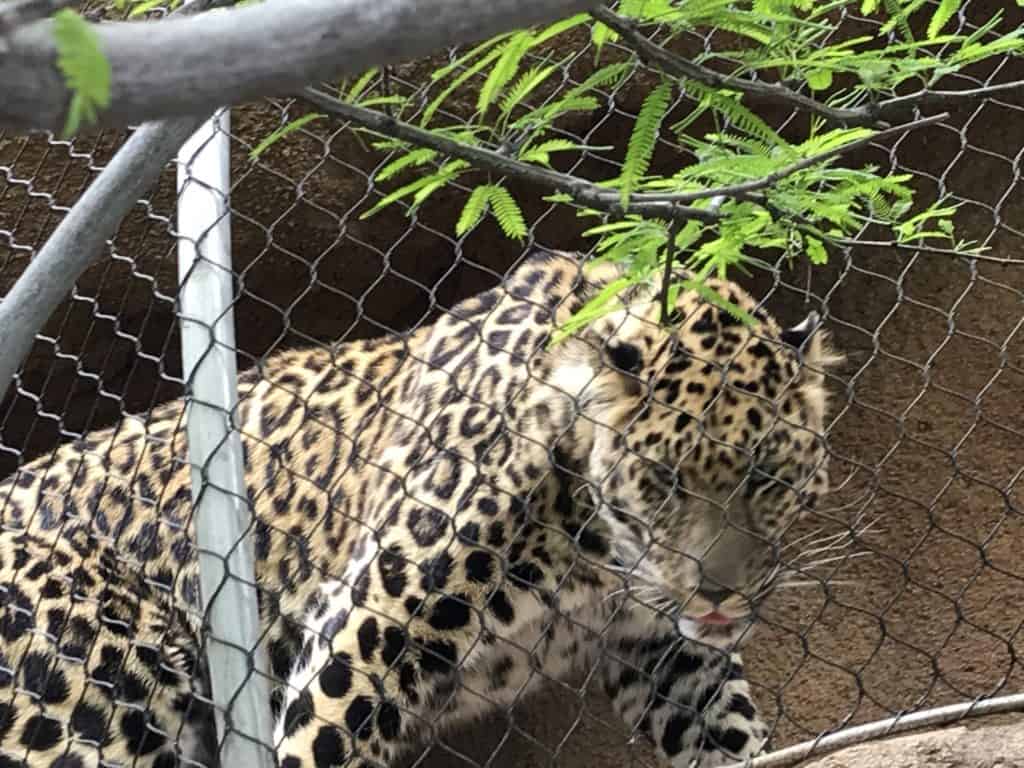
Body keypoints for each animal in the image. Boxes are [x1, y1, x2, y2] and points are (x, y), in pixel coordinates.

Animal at [0, 248, 840, 768]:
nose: (719, 594)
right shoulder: (371, 629)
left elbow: (725, 728)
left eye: (769, 475)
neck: (596, 555)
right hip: (89, 688)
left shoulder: (667, 652)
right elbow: (322, 742)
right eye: (664, 480)